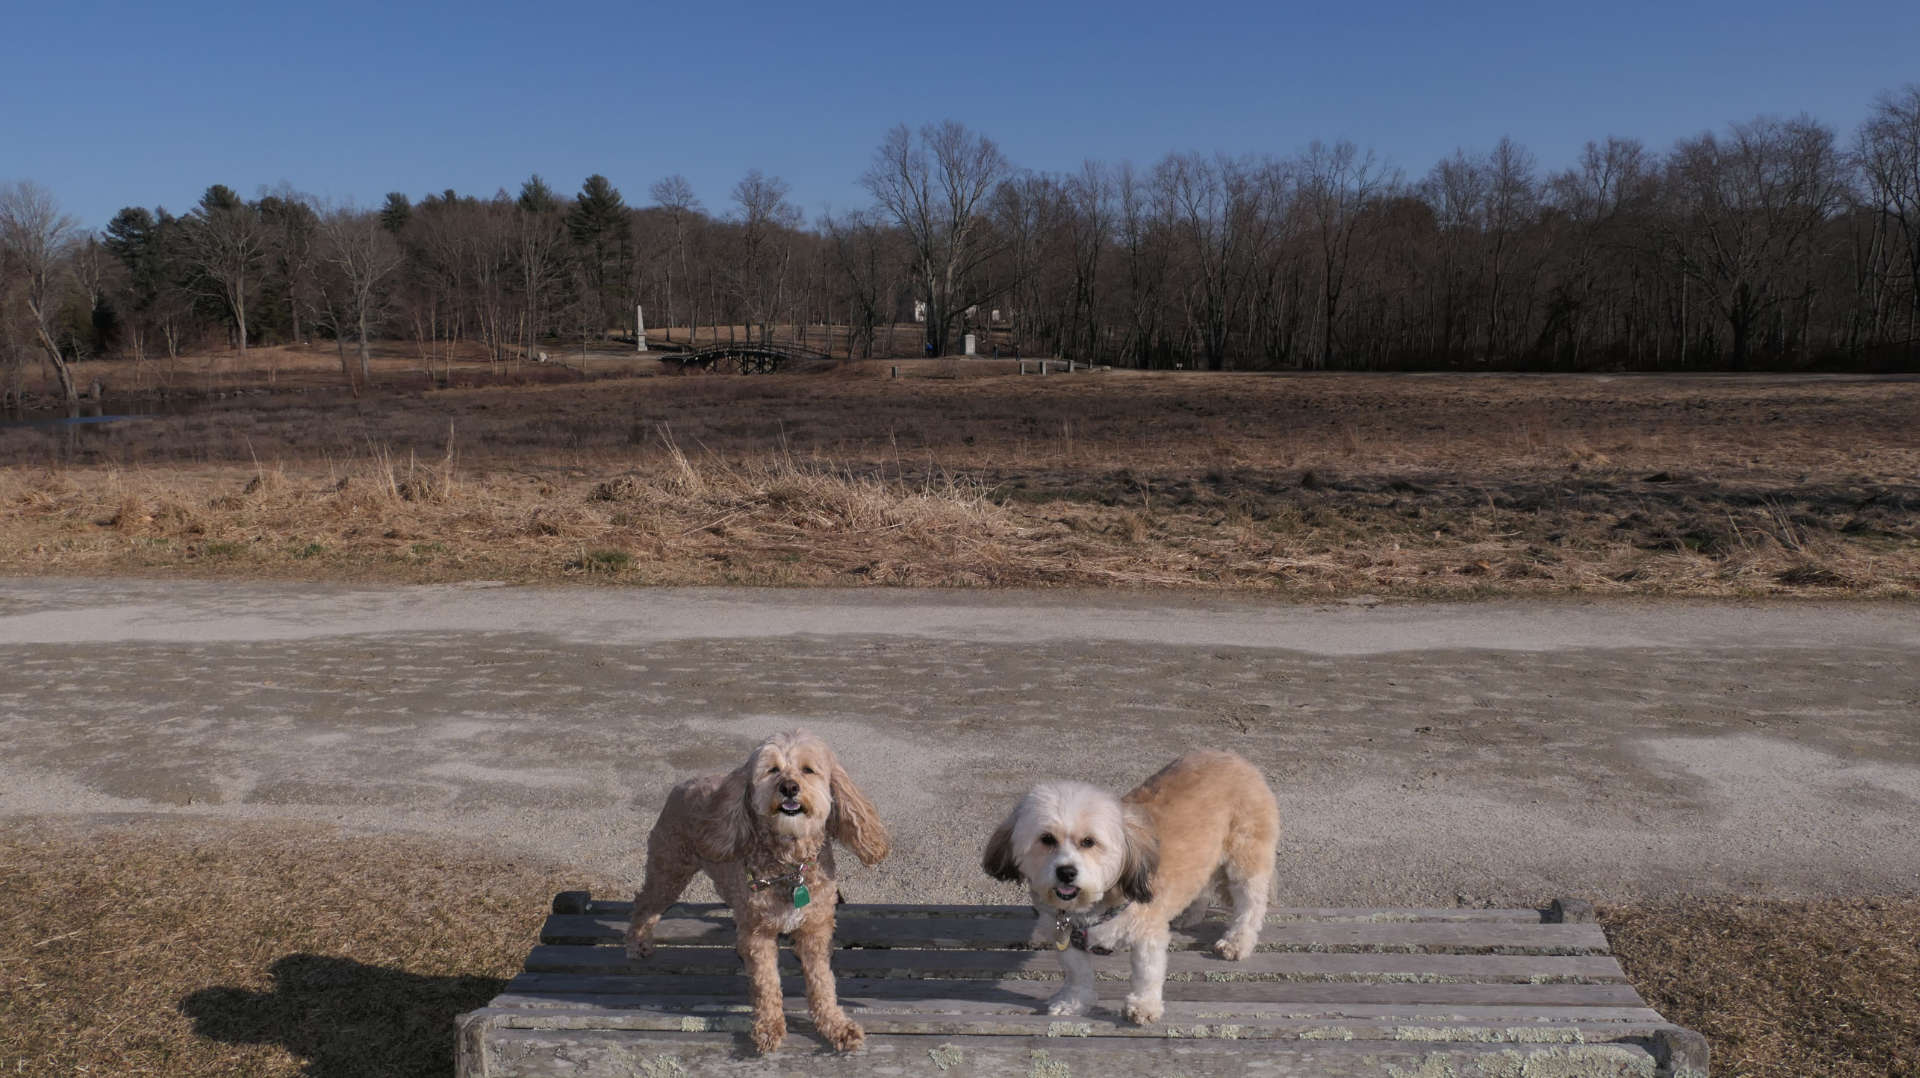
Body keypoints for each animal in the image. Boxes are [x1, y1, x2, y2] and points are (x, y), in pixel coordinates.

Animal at [983, 753, 1282, 1022]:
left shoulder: (1147, 934)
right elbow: (1077, 974)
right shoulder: (1065, 935)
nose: (1066, 872)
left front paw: (1144, 1006)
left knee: (1251, 905)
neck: (1093, 903)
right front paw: (1074, 1002)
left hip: (1245, 860)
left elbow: (1146, 974)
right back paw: (1190, 914)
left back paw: (1237, 941)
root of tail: (1237, 759)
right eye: (1046, 839)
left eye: (1089, 842)